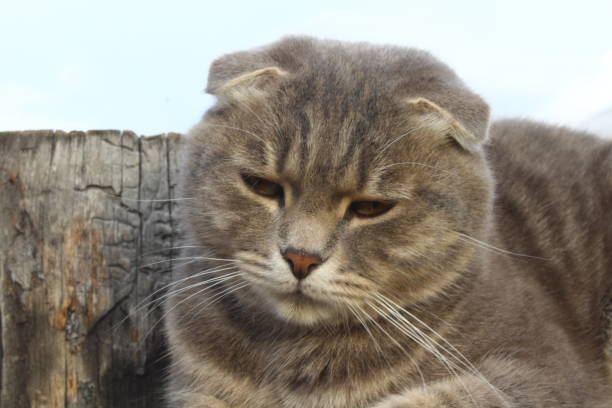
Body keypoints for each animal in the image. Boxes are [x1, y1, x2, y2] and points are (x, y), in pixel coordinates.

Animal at [163, 35, 612, 408]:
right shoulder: (198, 388)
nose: (301, 258)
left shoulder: (537, 373)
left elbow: (433, 400)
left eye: (370, 208)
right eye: (263, 186)